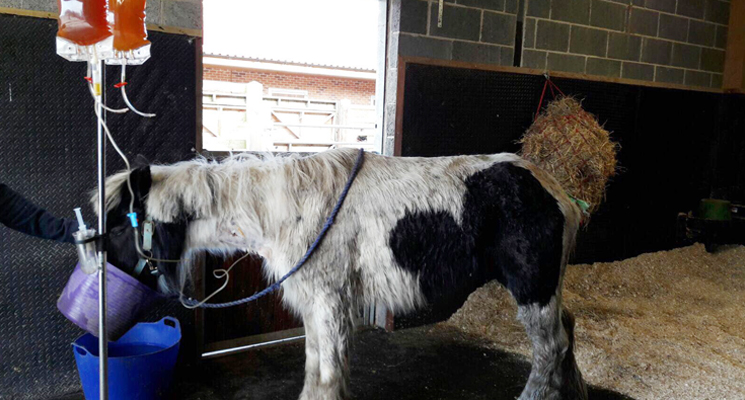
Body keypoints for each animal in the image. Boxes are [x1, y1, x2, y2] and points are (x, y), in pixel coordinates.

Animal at [96, 148, 587, 400]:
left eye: (118, 226)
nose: (102, 285)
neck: (284, 209)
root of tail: (556, 190)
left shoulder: (329, 299)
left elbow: (328, 371)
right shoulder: (316, 302)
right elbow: (316, 365)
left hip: (533, 287)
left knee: (550, 349)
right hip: (548, 288)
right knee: (566, 333)